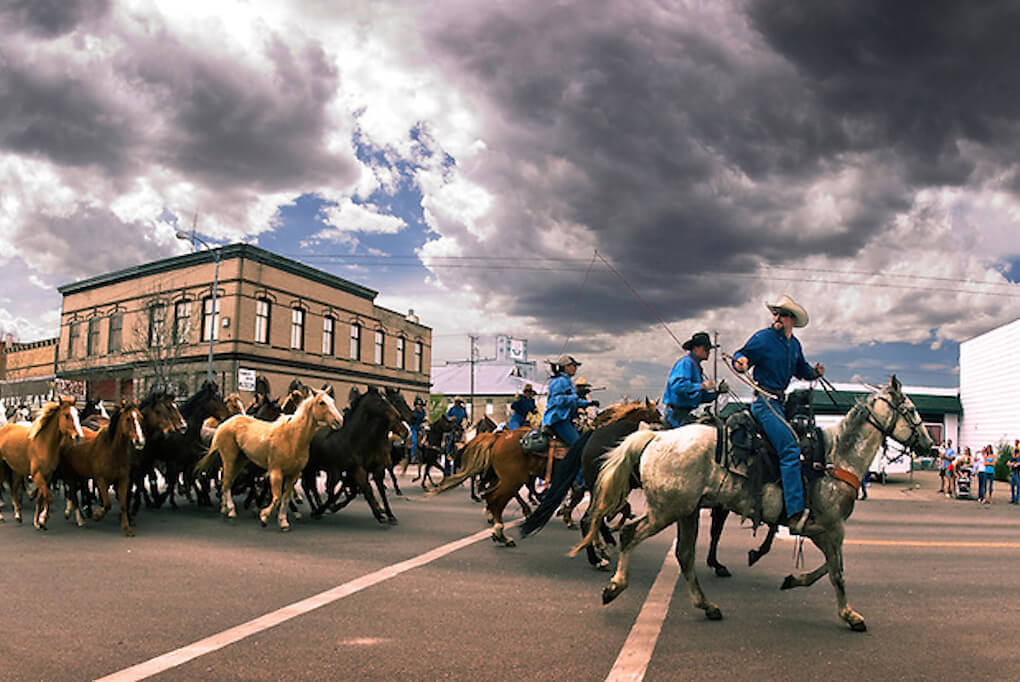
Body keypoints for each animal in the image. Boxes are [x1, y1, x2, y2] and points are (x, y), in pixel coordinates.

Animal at [0, 395, 83, 530]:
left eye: (78, 414)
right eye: (66, 415)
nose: (78, 436)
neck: (43, 443)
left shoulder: (47, 475)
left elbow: (41, 498)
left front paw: (38, 521)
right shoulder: (37, 475)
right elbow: (48, 497)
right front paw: (43, 519)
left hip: (17, 470)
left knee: (13, 488)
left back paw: (18, 515)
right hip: (2, 468)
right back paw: (2, 516)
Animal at [60, 401, 145, 534]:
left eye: (140, 417)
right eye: (128, 419)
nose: (140, 441)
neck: (111, 451)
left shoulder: (123, 479)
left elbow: (123, 504)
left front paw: (127, 528)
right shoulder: (101, 480)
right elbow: (107, 504)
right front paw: (96, 515)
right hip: (70, 473)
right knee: (73, 492)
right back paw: (78, 517)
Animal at [196, 385, 344, 530]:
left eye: (332, 400)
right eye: (322, 402)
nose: (339, 421)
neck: (292, 437)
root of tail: (225, 423)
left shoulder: (293, 474)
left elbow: (285, 498)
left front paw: (283, 521)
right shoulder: (275, 472)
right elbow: (277, 497)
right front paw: (263, 517)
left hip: (241, 460)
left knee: (228, 482)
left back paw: (225, 508)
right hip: (229, 458)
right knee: (226, 482)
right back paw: (231, 511)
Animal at [575, 375, 934, 632]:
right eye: (910, 411)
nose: (930, 445)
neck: (836, 456)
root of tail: (656, 436)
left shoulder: (825, 530)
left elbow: (827, 569)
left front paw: (794, 580)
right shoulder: (831, 528)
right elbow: (837, 573)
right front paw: (850, 615)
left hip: (686, 511)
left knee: (684, 556)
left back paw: (707, 606)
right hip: (666, 510)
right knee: (629, 534)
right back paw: (614, 585)